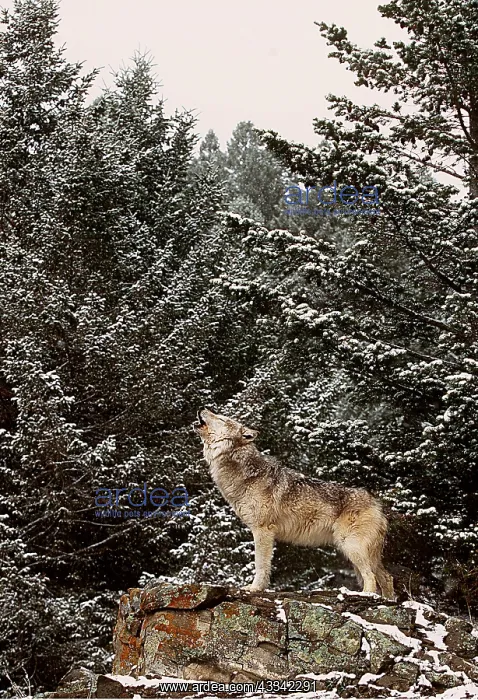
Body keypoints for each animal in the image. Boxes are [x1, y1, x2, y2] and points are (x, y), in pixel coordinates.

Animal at [195, 408, 395, 599]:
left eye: (221, 418)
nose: (202, 409)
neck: (245, 473)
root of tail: (377, 505)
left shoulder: (263, 531)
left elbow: (260, 565)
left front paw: (255, 588)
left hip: (350, 546)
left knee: (371, 577)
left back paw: (365, 595)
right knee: (387, 577)